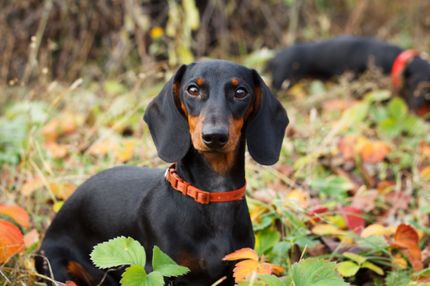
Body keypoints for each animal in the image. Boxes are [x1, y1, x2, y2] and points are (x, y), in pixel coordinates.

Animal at [36, 59, 288, 284]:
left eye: (241, 92)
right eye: (193, 89)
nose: (214, 136)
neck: (212, 193)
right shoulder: (162, 269)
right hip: (58, 267)